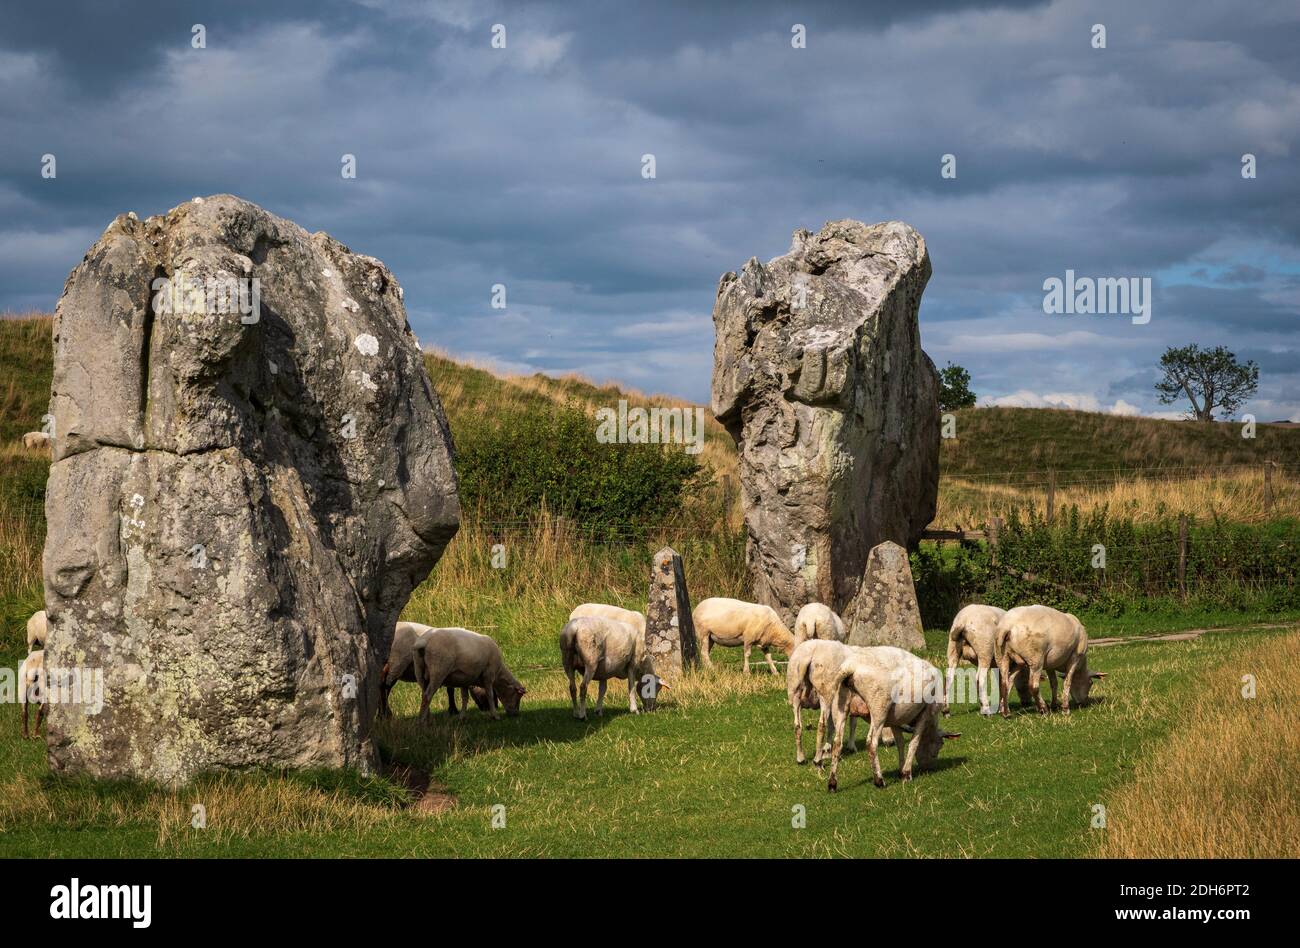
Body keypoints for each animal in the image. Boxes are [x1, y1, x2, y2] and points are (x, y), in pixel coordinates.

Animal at [825, 646, 960, 791]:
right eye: (941, 744)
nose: (929, 768)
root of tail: (851, 666)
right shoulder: (925, 715)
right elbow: (913, 743)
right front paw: (907, 774)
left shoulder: (895, 720)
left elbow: (900, 743)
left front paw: (901, 771)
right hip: (879, 707)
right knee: (871, 743)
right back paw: (879, 780)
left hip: (839, 705)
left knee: (837, 743)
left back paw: (832, 783)